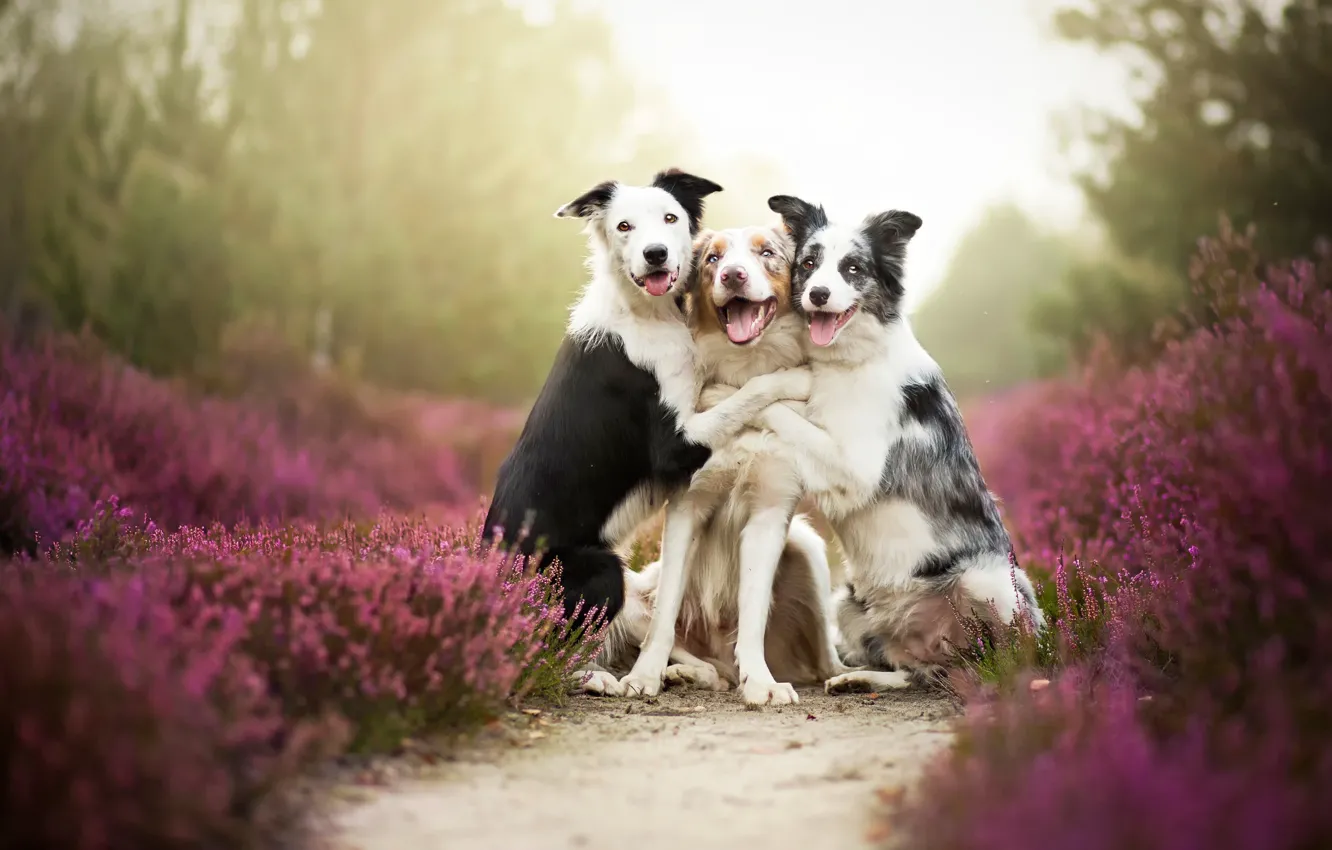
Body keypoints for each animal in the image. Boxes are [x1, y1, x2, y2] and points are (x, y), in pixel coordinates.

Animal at [484, 169, 804, 698]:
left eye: (671, 218)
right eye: (624, 226)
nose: (655, 253)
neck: (647, 313)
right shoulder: (674, 445)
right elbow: (748, 391)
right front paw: (794, 380)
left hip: (629, 589)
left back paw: (694, 671)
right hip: (599, 571)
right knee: (546, 651)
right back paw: (594, 677)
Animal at [588, 225, 847, 703]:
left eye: (767, 253)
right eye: (712, 259)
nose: (733, 275)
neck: (745, 368)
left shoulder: (769, 512)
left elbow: (752, 610)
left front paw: (760, 683)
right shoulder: (686, 506)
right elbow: (666, 613)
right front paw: (643, 676)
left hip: (807, 548)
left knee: (824, 660)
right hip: (631, 593)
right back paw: (680, 673)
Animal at [756, 194, 1044, 692]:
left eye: (853, 268)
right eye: (809, 263)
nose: (818, 294)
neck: (849, 363)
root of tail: (942, 647)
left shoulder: (855, 467)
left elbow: (784, 415)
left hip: (988, 579)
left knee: (1002, 660)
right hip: (847, 604)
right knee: (911, 673)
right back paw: (861, 678)